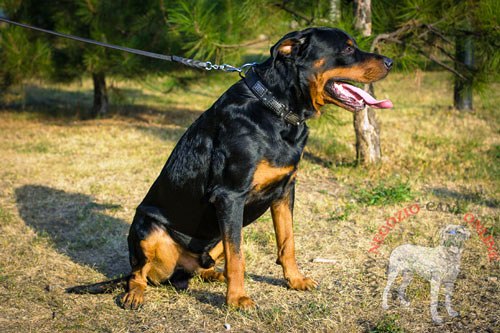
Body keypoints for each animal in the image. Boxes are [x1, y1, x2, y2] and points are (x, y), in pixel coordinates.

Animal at [68, 26, 392, 308]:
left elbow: (287, 242)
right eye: (347, 49)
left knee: (195, 269)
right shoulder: (230, 196)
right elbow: (239, 256)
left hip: (215, 237)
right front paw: (237, 299)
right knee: (138, 274)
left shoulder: (285, 189)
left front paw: (295, 280)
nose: (390, 61)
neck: (277, 109)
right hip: (147, 227)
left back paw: (213, 274)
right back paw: (136, 294)